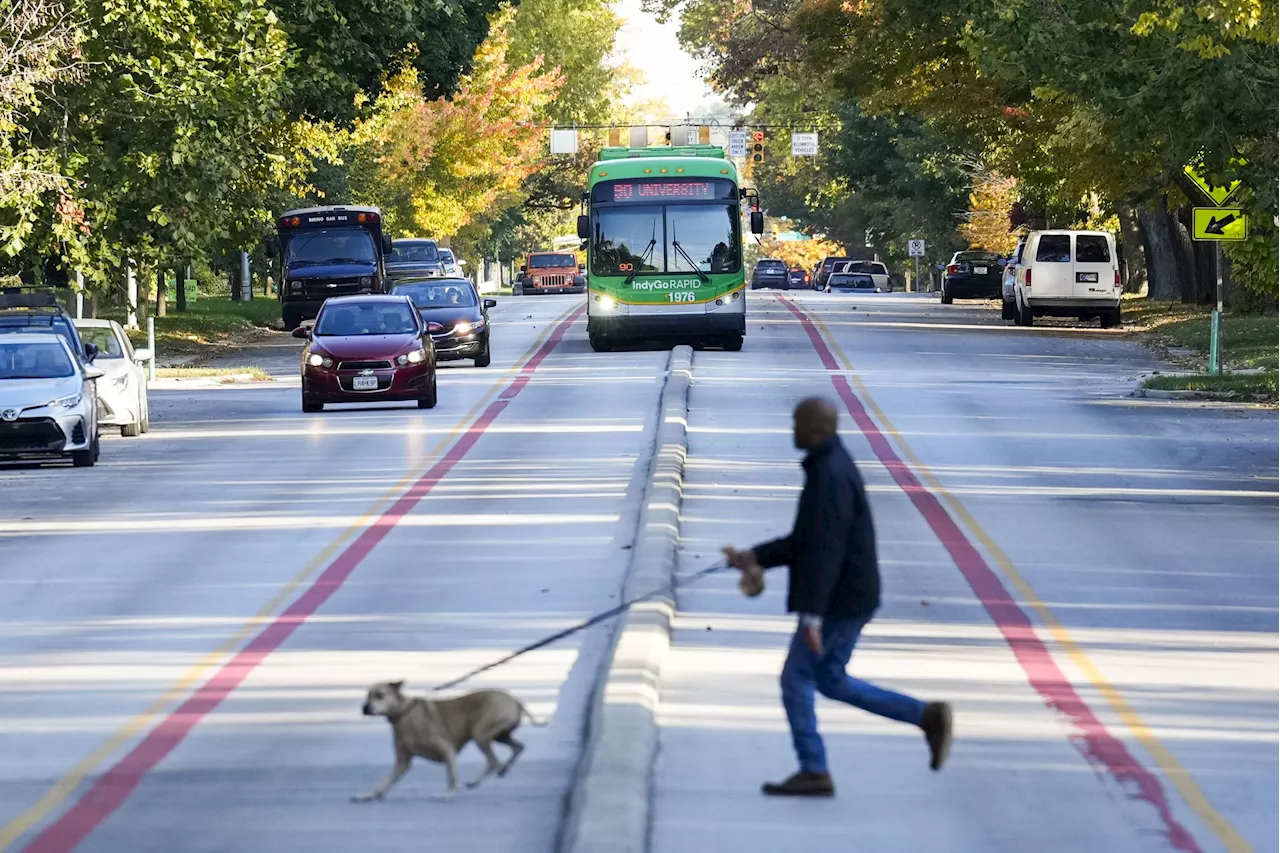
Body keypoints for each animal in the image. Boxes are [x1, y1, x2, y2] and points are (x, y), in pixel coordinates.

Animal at [353, 681, 547, 799]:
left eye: (380, 695)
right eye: (368, 695)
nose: (365, 708)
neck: (404, 714)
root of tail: (517, 701)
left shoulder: (446, 750)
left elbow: (451, 775)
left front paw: (448, 793)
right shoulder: (402, 762)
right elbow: (385, 781)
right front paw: (369, 795)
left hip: (481, 733)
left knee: (494, 761)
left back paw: (484, 776)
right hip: (500, 735)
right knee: (518, 748)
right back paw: (501, 769)